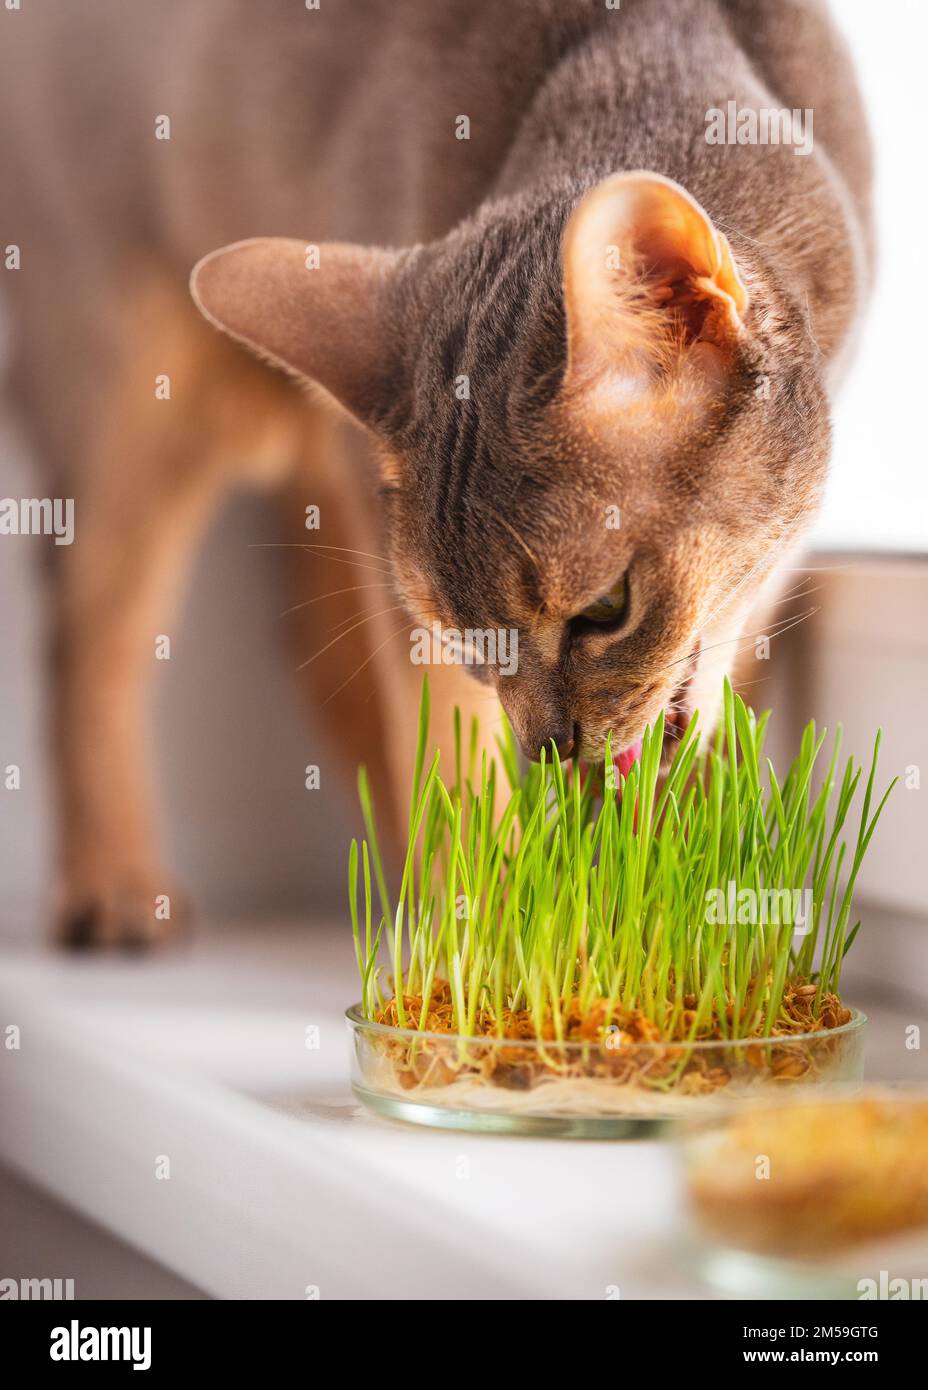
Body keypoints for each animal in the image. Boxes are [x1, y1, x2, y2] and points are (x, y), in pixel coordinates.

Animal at [0, 0, 872, 945]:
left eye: (606, 611)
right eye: (467, 637)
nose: (552, 747)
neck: (640, 39)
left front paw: (673, 917)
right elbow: (456, 772)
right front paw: (488, 937)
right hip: (129, 393)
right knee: (92, 638)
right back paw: (114, 886)